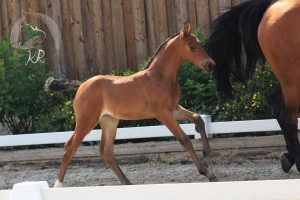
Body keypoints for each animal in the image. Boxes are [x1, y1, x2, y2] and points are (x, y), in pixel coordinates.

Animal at [45, 22, 218, 188]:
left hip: (109, 121)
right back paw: (58, 185)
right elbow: (184, 139)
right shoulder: (163, 113)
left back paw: (127, 184)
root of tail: (81, 86)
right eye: (191, 46)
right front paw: (207, 172)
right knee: (70, 148)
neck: (159, 77)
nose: (211, 65)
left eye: (200, 44)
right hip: (86, 121)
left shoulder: (174, 109)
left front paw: (206, 159)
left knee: (105, 151)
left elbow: (198, 119)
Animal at [206, 0, 300, 173]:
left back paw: (288, 158)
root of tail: (272, 5)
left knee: (276, 103)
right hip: (292, 79)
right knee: (287, 116)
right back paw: (298, 162)